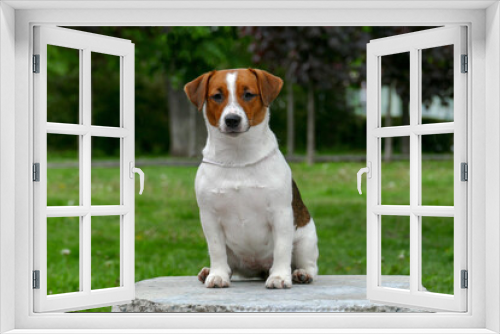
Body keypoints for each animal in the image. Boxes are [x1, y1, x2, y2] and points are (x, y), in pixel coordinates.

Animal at [186, 67, 318, 288]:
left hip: (305, 240)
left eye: (248, 94)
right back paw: (210, 271)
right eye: (217, 96)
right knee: (229, 263)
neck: (238, 157)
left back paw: (300, 273)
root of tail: (259, 269)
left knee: (309, 265)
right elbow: (216, 250)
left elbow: (282, 248)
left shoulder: (281, 213)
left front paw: (280, 276)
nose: (232, 119)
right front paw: (217, 274)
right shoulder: (209, 217)